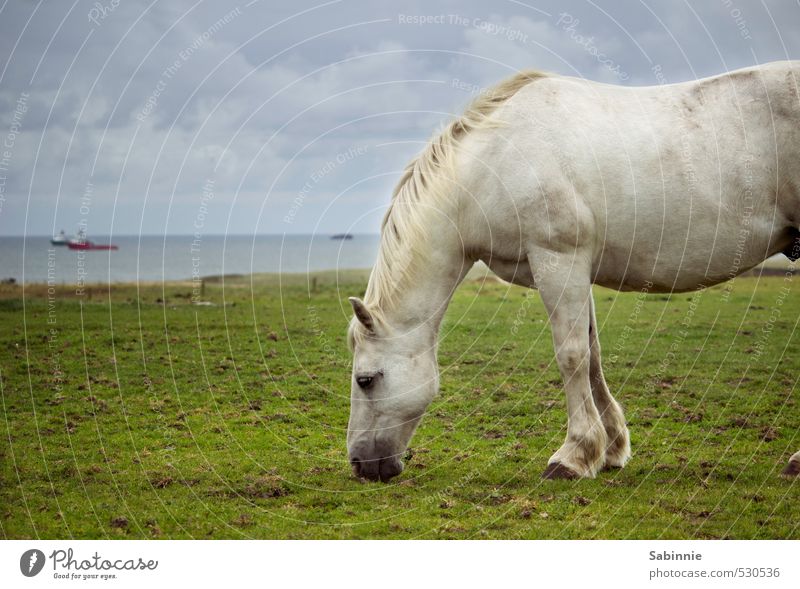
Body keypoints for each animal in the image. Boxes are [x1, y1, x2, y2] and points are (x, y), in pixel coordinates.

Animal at [346, 62, 800, 480]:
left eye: (366, 379)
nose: (360, 464)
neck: (495, 162)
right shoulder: (576, 272)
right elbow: (592, 355)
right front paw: (610, 448)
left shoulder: (558, 261)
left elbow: (571, 355)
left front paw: (573, 456)